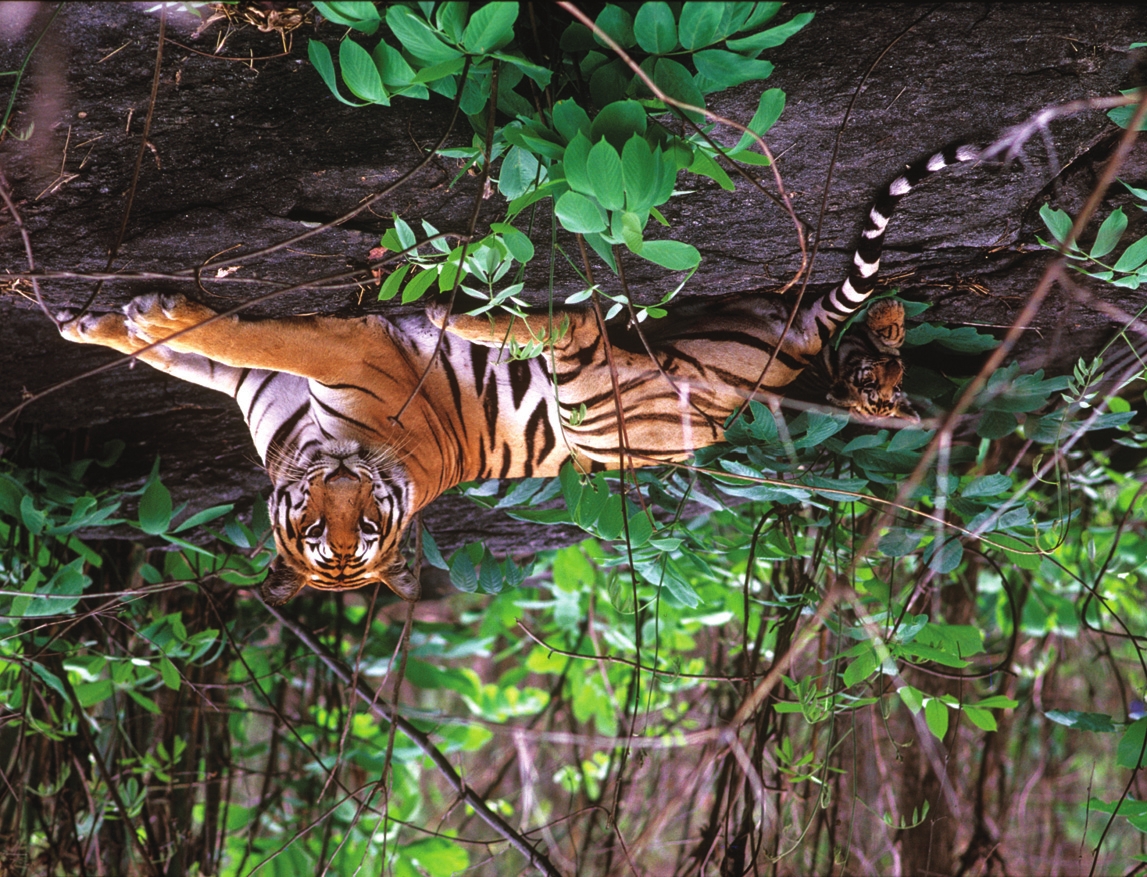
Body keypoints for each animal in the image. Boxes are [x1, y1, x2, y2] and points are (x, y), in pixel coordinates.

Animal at [58, 142, 981, 600]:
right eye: (318, 534)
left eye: (365, 534)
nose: (350, 495)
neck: (305, 456)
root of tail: (762, 398)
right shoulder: (258, 392)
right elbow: (185, 358)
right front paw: (97, 323)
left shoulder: (352, 351)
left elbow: (257, 335)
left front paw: (148, 313)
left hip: (591, 402)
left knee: (574, 315)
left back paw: (446, 301)